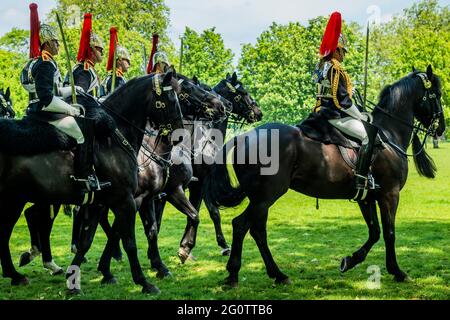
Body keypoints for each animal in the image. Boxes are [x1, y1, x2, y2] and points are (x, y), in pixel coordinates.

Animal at [0, 71, 184, 294]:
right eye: (170, 99)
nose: (180, 135)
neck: (113, 139)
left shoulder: (99, 203)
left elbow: (87, 240)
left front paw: (74, 280)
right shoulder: (126, 201)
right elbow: (129, 241)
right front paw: (144, 282)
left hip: (17, 199)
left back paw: (17, 273)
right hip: (16, 201)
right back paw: (20, 270)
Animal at [204, 66, 446, 286]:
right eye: (436, 94)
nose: (441, 128)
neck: (388, 134)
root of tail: (244, 136)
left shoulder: (366, 197)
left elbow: (375, 232)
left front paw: (350, 260)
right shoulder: (390, 194)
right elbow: (389, 232)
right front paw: (397, 271)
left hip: (260, 199)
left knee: (253, 229)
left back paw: (267, 274)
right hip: (265, 197)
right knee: (244, 226)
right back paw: (244, 274)